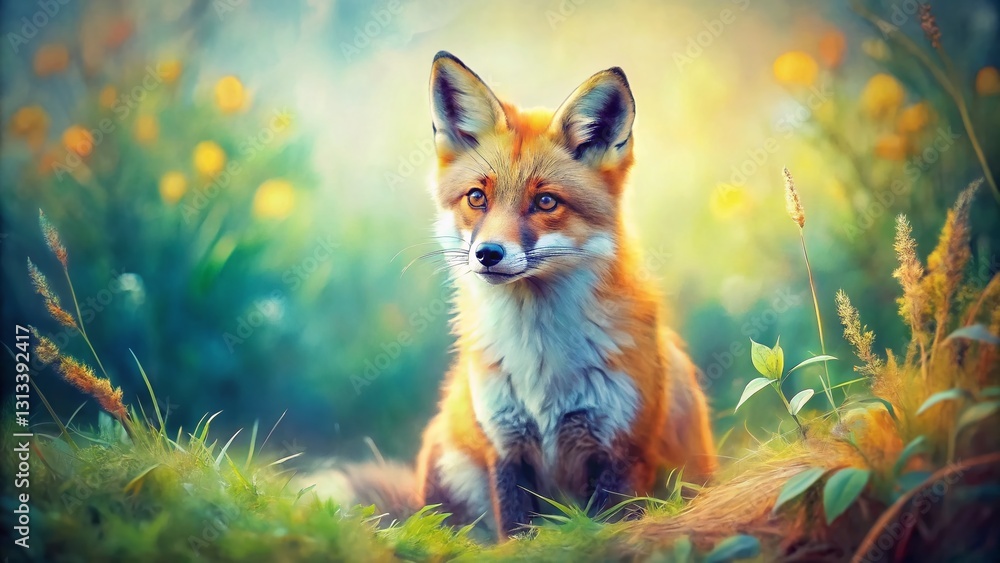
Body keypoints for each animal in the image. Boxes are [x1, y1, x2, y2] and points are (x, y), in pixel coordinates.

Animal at [331, 51, 717, 541]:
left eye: (546, 202)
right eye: (477, 197)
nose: (487, 254)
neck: (539, 358)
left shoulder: (623, 451)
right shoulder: (506, 448)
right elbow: (514, 534)